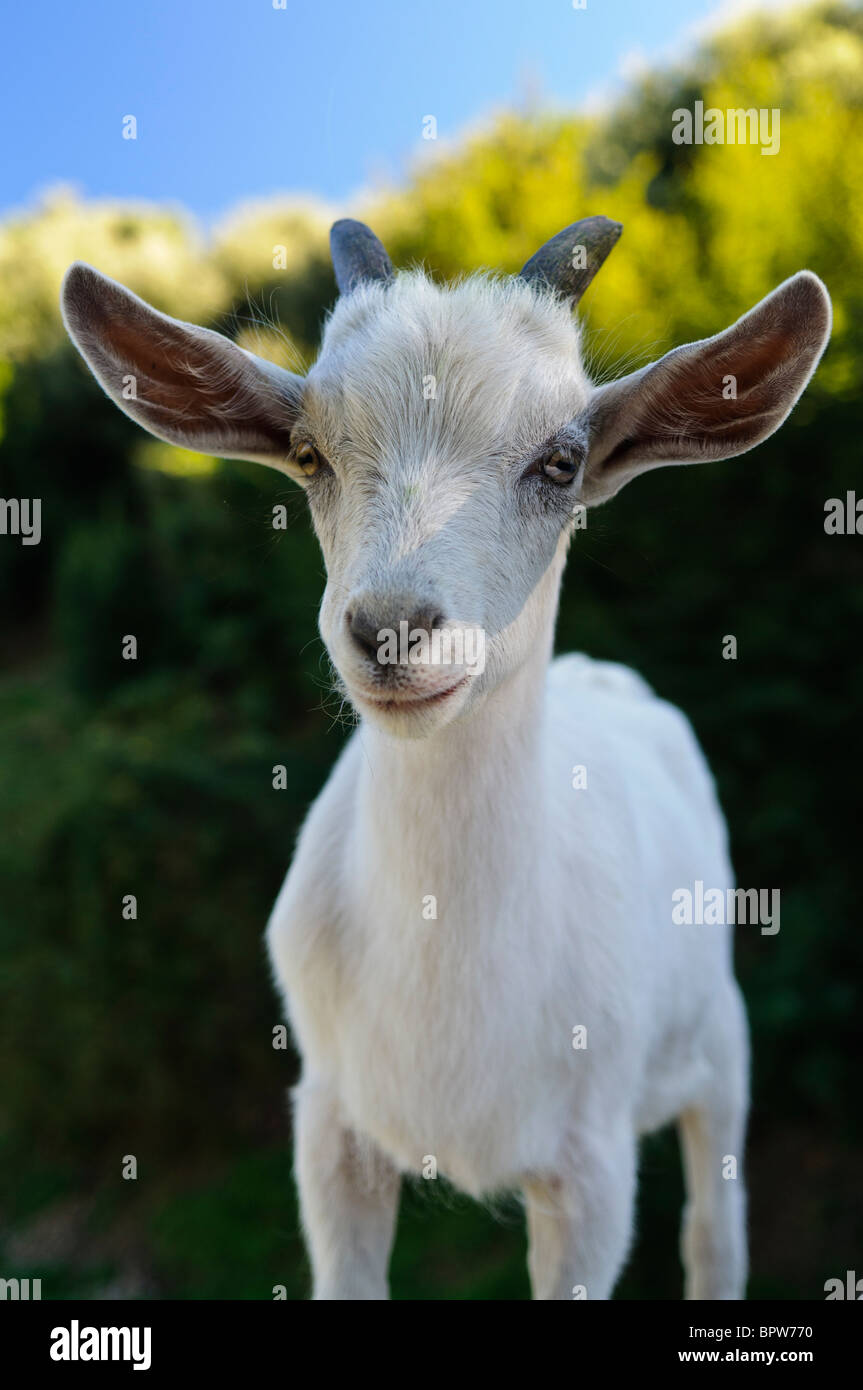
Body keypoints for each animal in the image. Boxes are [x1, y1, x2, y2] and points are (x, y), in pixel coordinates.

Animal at [60, 211, 828, 1295]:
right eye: (307, 453)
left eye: (559, 462)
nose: (390, 627)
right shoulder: (328, 1128)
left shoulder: (589, 1175)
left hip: (719, 1049)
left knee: (713, 1232)